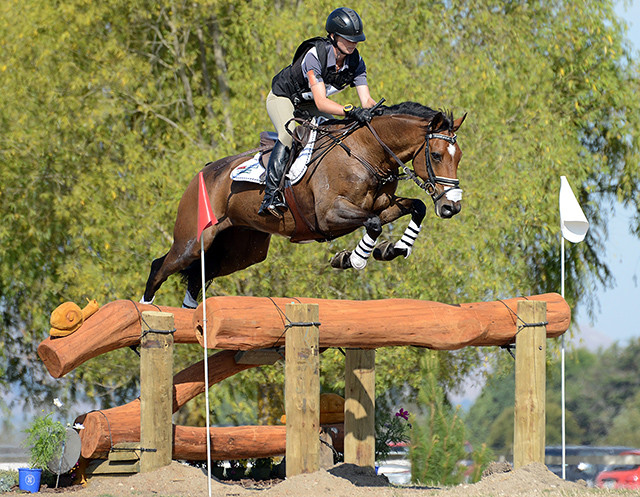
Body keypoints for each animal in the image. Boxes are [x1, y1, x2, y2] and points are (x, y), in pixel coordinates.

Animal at [142, 100, 468, 306]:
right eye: (436, 155)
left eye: (459, 157)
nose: (451, 207)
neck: (367, 152)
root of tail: (205, 172)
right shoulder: (330, 215)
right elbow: (373, 224)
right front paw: (351, 259)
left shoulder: (382, 205)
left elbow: (417, 207)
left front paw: (394, 249)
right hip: (192, 240)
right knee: (160, 267)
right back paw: (146, 316)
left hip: (241, 251)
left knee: (199, 276)